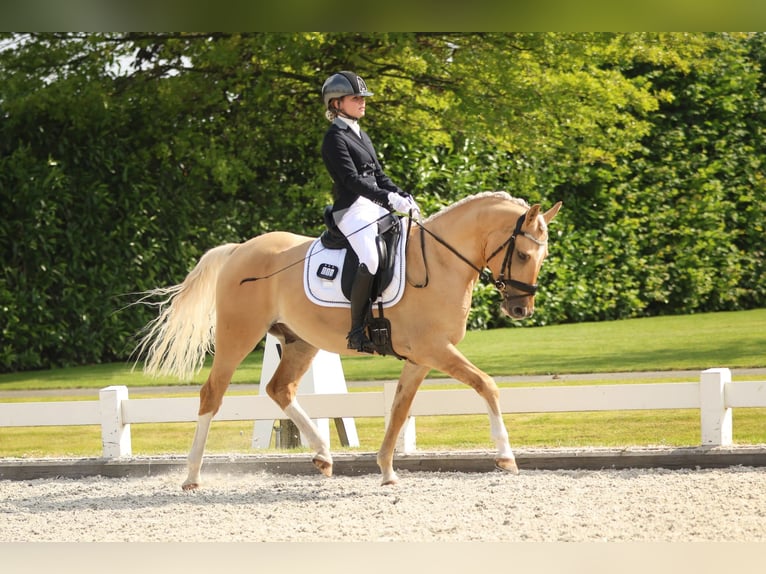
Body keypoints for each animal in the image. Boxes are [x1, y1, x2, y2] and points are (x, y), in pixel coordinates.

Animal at [134, 191, 562, 489]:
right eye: (524, 255)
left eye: (542, 256)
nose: (521, 309)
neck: (441, 263)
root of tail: (240, 249)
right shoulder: (435, 350)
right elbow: (486, 385)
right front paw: (505, 456)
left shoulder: (421, 358)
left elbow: (400, 410)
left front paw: (387, 470)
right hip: (237, 336)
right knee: (212, 394)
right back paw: (192, 476)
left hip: (301, 342)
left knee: (279, 389)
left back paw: (323, 456)